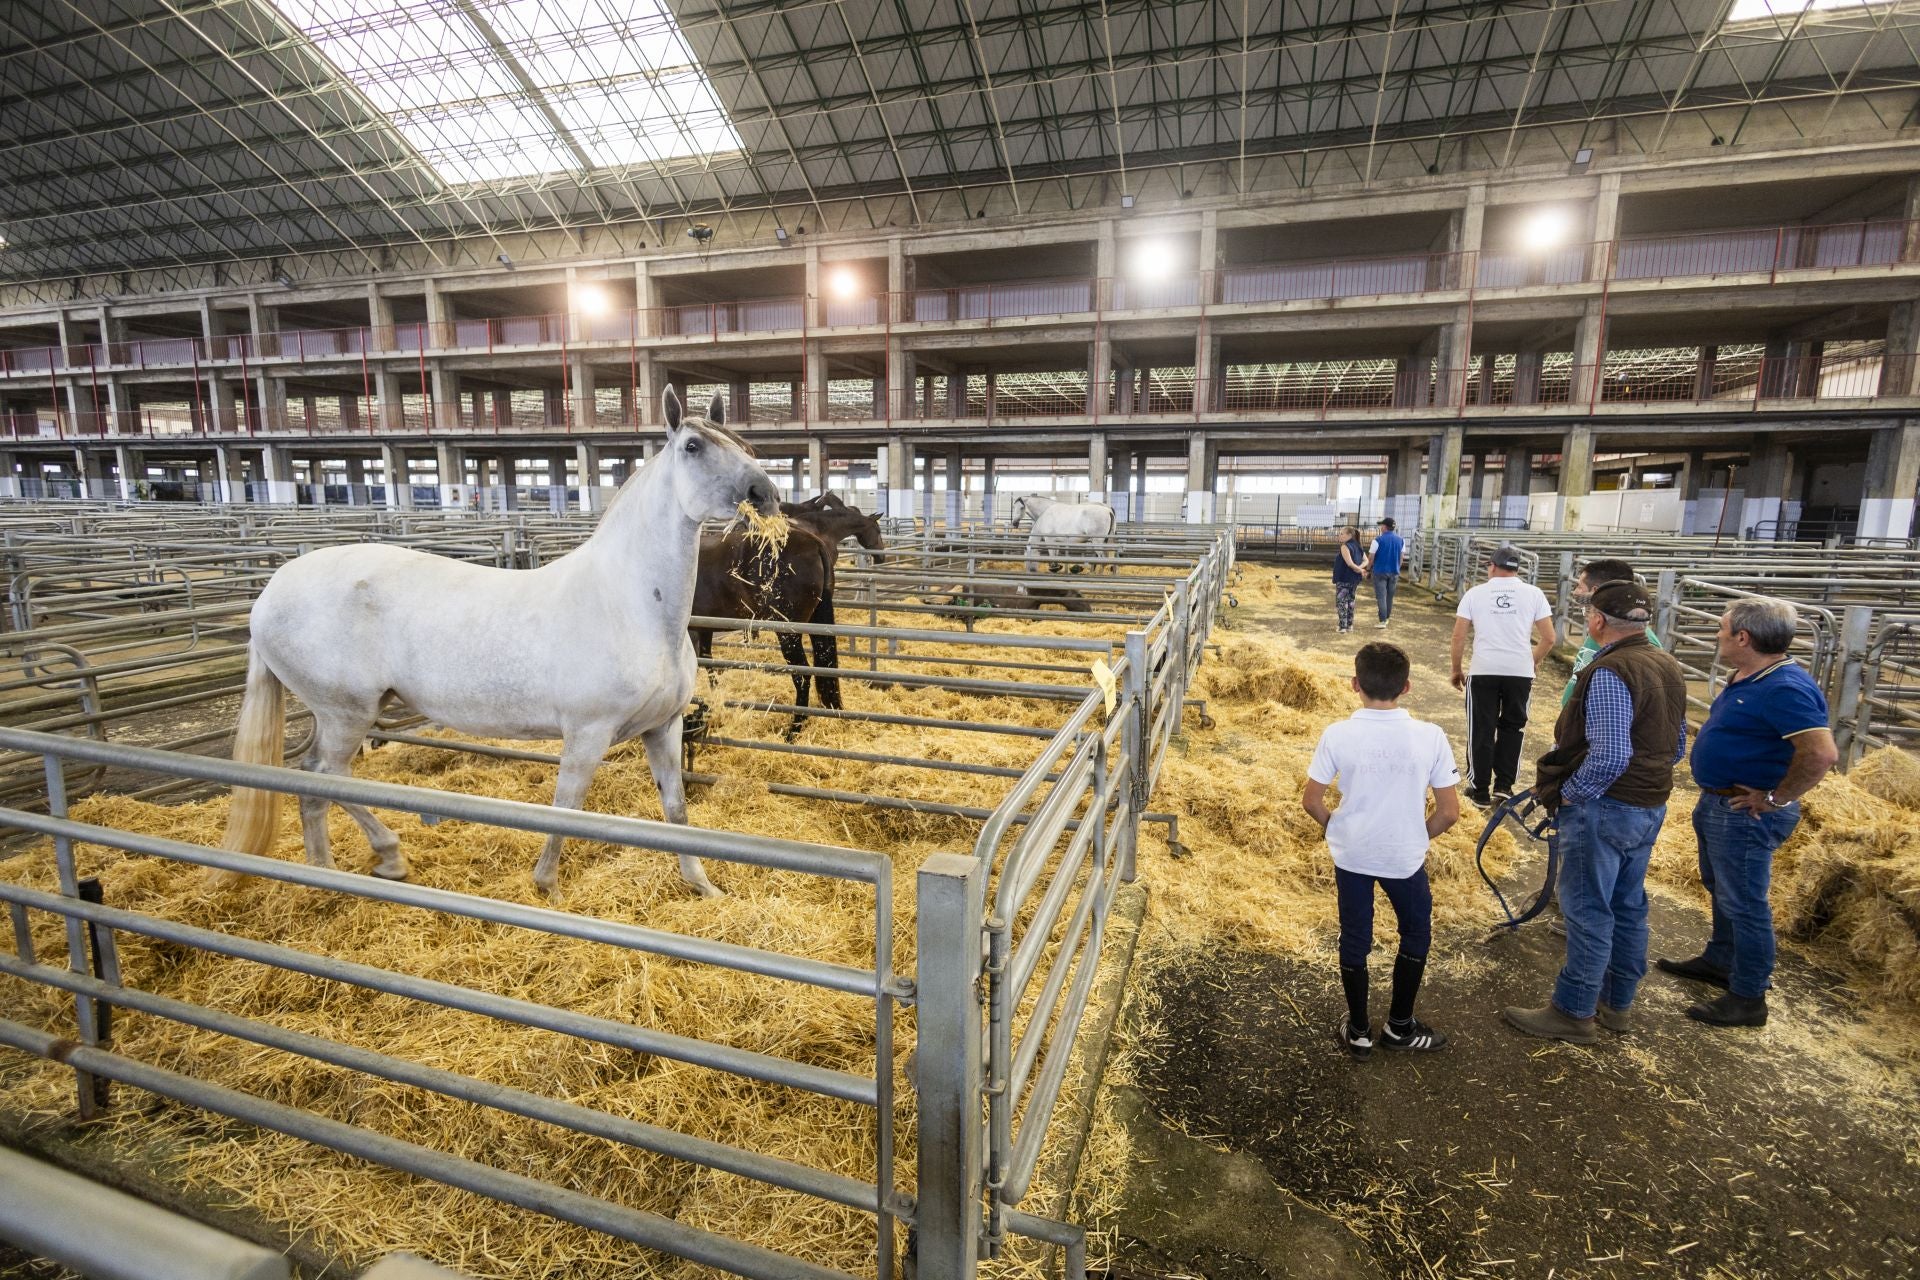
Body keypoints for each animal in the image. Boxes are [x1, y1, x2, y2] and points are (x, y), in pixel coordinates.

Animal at [220, 388, 778, 899]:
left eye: (745, 443)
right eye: (692, 446)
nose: (765, 493)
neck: (631, 604)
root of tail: (269, 594)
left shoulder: (664, 727)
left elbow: (676, 808)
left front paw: (702, 885)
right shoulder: (587, 733)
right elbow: (567, 807)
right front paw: (547, 885)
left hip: (337, 715)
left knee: (311, 784)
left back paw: (323, 874)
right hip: (345, 713)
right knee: (325, 775)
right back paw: (387, 857)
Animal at [691, 493, 885, 737]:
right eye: (877, 530)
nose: (881, 557)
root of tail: (814, 543)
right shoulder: (703, 627)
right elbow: (708, 664)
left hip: (788, 634)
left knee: (802, 675)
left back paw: (795, 728)